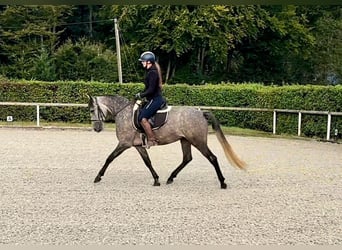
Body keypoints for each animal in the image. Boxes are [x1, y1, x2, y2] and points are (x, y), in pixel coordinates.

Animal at [88, 94, 246, 188]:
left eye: (91, 110)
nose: (96, 128)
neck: (123, 112)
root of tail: (201, 112)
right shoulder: (137, 145)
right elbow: (147, 161)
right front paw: (156, 180)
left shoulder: (124, 143)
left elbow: (110, 158)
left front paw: (98, 176)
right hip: (185, 140)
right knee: (187, 158)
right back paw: (170, 178)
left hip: (198, 141)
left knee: (212, 158)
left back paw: (222, 182)